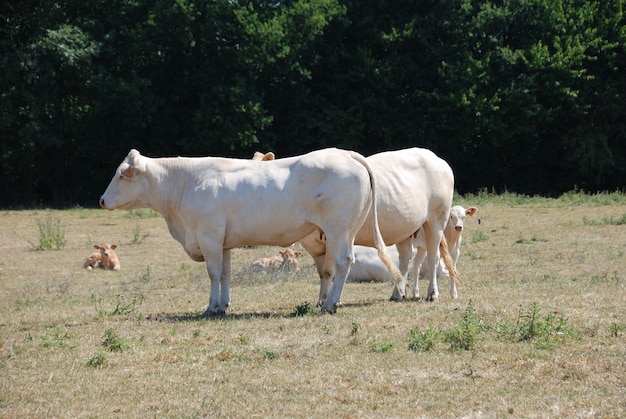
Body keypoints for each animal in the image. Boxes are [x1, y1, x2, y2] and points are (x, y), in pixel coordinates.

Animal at [99, 148, 398, 316]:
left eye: (122, 175)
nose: (101, 200)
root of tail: (345, 153)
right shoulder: (223, 242)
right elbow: (225, 273)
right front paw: (224, 305)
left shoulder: (208, 236)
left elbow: (213, 273)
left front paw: (211, 307)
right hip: (347, 230)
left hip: (338, 230)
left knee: (343, 262)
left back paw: (331, 304)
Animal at [298, 149, 458, 304]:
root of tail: (435, 157)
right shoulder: (318, 246)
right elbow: (324, 273)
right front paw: (322, 300)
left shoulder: (334, 236)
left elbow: (329, 270)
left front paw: (328, 300)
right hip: (404, 229)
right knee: (406, 259)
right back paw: (398, 294)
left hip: (436, 221)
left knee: (433, 257)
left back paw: (432, 294)